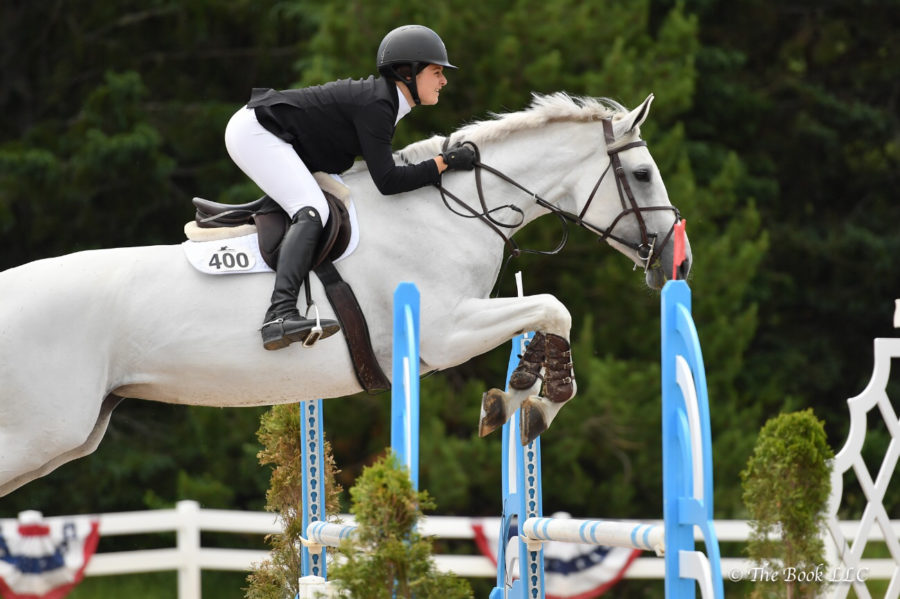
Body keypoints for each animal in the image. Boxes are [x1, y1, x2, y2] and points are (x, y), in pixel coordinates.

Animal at [0, 94, 688, 496]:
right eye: (642, 174)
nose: (674, 262)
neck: (449, 211)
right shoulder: (443, 331)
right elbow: (553, 307)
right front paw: (533, 399)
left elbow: (546, 316)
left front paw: (518, 393)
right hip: (41, 433)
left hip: (68, 434)